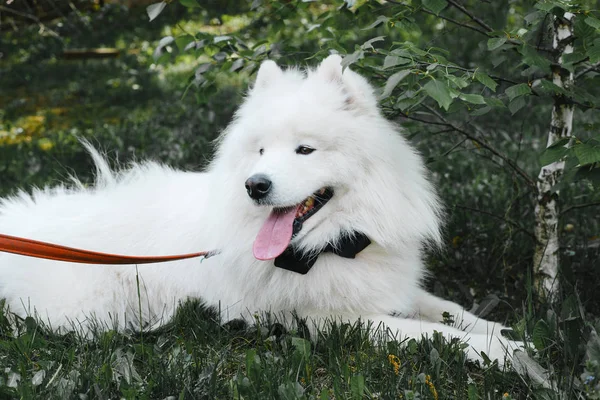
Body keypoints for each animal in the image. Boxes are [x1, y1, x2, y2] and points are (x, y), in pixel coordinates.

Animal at [0, 55, 516, 366]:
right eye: (262, 151)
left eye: (304, 150)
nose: (255, 185)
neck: (332, 244)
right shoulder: (330, 321)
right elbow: (431, 333)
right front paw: (503, 353)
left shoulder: (389, 290)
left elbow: (449, 311)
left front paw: (506, 333)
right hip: (88, 312)